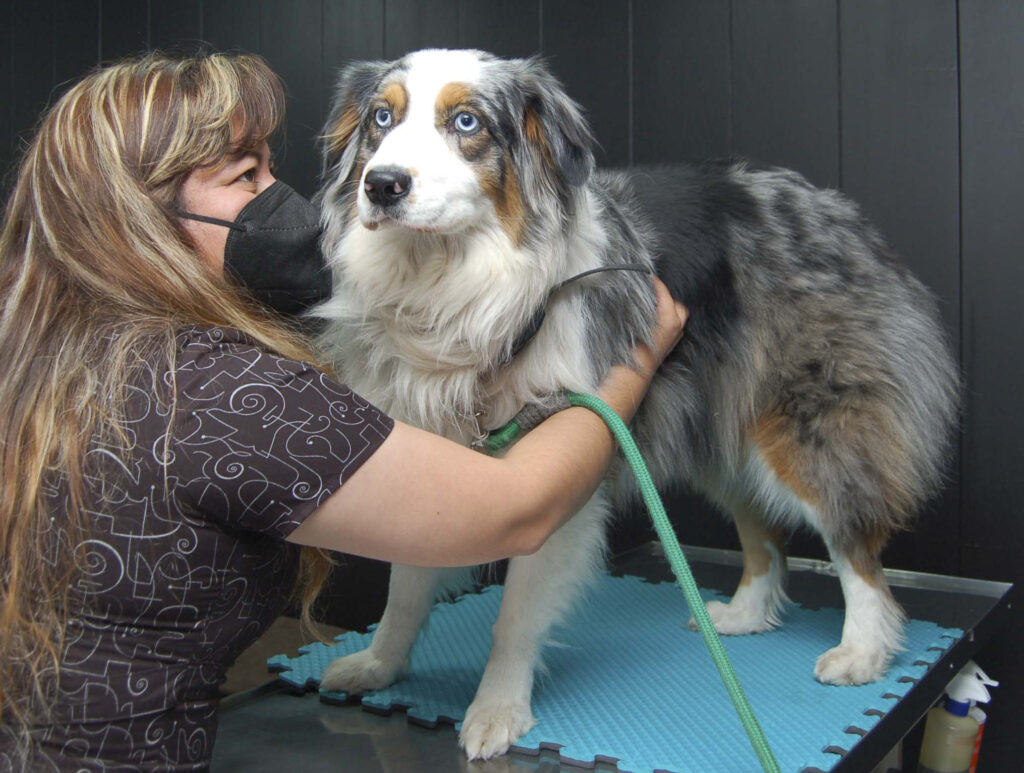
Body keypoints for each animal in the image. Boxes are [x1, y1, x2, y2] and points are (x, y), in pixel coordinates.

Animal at [311, 49, 958, 761]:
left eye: (466, 122)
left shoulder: (564, 464)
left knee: (853, 544)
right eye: (381, 117)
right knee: (760, 529)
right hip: (720, 425)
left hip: (803, 424)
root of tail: (841, 213)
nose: (382, 185)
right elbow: (403, 590)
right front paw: (380, 665)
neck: (451, 287)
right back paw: (743, 615)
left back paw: (862, 650)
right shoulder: (433, 445)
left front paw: (497, 709)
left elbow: (515, 615)